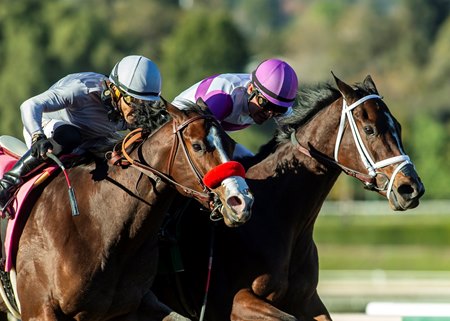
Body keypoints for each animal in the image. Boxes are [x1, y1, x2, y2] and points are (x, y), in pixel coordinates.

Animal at [154, 74, 426, 318]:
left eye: (398, 127)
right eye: (370, 130)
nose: (411, 188)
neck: (278, 216)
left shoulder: (307, 301)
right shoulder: (234, 302)